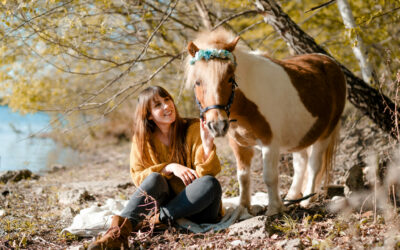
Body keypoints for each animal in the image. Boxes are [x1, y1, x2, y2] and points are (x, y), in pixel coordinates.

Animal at [186, 28, 346, 217]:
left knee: (314, 165)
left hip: (325, 134)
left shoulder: (270, 143)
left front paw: (274, 209)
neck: (245, 106)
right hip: (301, 136)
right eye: (197, 82)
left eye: (230, 78)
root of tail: (330, 61)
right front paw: (243, 209)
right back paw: (292, 196)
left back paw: (307, 199)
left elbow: (269, 176)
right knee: (300, 164)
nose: (217, 125)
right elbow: (243, 177)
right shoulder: (239, 145)